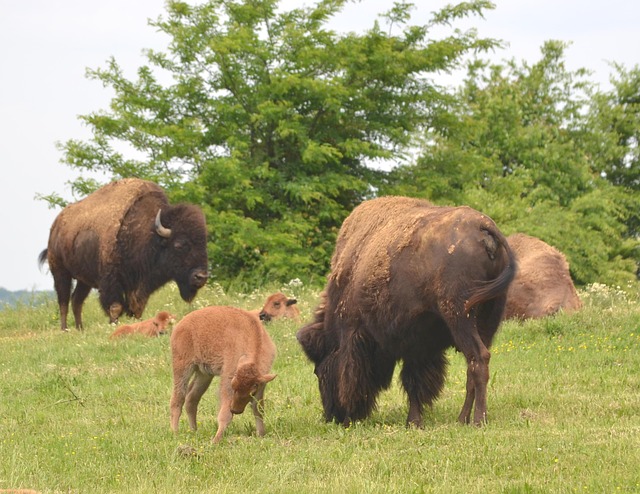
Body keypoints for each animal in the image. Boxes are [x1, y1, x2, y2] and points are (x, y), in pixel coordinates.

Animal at [38, 178, 209, 332]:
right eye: (179, 245)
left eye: (204, 244)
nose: (201, 277)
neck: (147, 233)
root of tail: (56, 226)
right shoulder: (111, 281)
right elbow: (115, 307)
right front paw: (114, 325)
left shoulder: (137, 285)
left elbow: (137, 307)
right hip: (60, 272)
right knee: (63, 301)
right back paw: (64, 329)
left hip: (83, 280)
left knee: (76, 300)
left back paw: (80, 329)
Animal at [170, 306, 278, 442]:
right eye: (234, 387)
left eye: (252, 392)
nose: (235, 410)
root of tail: (181, 324)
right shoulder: (227, 379)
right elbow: (225, 413)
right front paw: (216, 439)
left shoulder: (262, 383)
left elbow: (258, 409)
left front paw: (261, 434)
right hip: (183, 367)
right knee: (178, 398)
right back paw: (175, 433)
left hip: (204, 374)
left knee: (191, 398)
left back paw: (194, 430)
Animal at [298, 197, 516, 428]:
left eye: (319, 370)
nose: (332, 416)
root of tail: (484, 226)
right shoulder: (419, 344)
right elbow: (414, 382)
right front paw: (414, 421)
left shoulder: (357, 333)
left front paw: (412, 421)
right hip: (487, 320)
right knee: (473, 367)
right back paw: (462, 419)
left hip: (460, 316)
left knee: (478, 359)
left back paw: (477, 420)